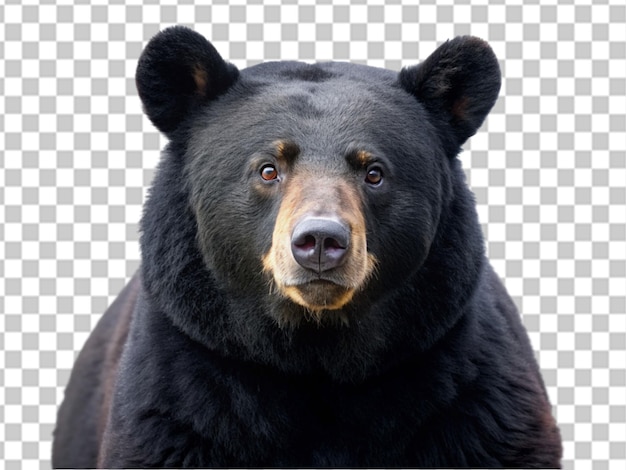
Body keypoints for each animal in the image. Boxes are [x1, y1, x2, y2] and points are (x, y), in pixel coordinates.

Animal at [52, 27, 560, 468]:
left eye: (374, 172)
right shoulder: (179, 397)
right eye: (268, 169)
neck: (315, 358)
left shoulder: (471, 400)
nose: (320, 241)